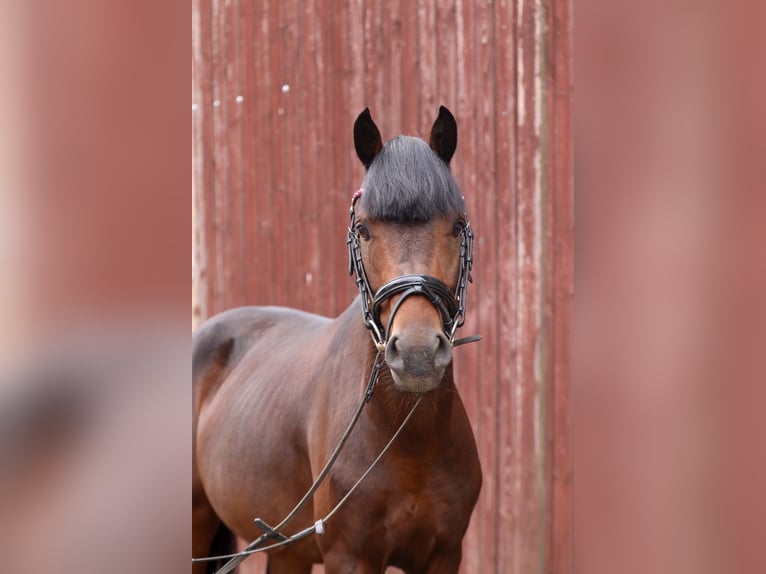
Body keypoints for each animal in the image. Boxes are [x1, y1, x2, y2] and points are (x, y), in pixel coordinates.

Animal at [192, 106, 482, 574]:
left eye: (457, 226)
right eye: (363, 230)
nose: (417, 353)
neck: (409, 439)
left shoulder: (443, 554)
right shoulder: (351, 556)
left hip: (286, 549)